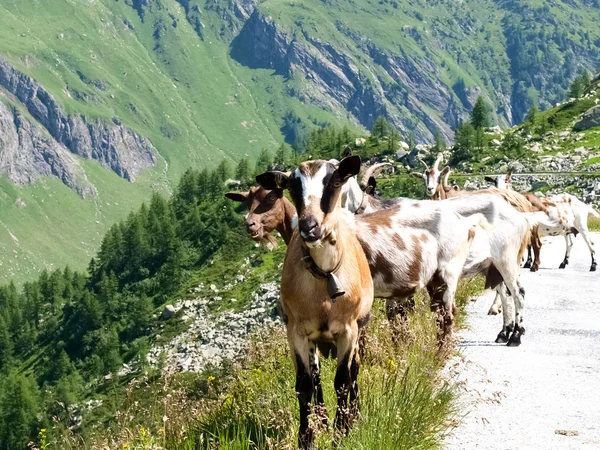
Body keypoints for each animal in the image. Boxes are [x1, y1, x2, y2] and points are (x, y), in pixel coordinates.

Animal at [258, 156, 376, 448]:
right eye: (291, 186)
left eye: (334, 181)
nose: (309, 227)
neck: (325, 280)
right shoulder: (296, 332)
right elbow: (304, 384)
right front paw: (307, 436)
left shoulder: (348, 330)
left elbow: (343, 380)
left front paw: (342, 430)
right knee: (316, 375)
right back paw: (322, 418)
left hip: (359, 329)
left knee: (354, 370)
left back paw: (354, 412)